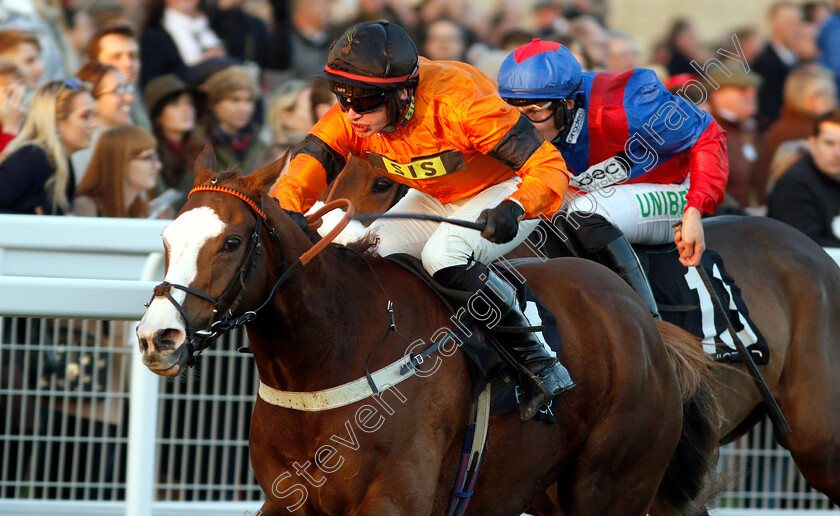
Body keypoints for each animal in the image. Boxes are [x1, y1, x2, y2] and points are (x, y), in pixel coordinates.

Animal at [135, 150, 720, 516]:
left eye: (231, 242)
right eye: (165, 237)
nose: (158, 336)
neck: (330, 354)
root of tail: (646, 324)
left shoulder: (394, 500)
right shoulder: (288, 497)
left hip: (612, 485)